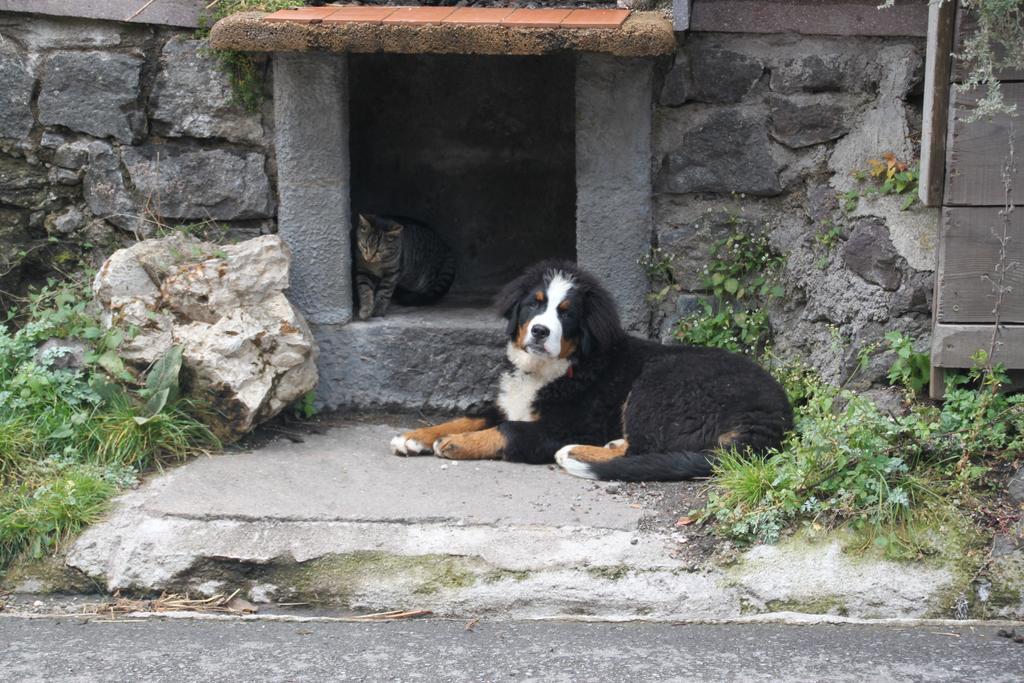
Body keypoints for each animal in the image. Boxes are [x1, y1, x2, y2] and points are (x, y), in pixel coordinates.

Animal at [389, 262, 790, 481]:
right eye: (534, 305)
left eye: (566, 313)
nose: (540, 331)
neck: (553, 369)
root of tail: (773, 417)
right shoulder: (508, 403)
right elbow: (469, 417)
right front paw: (415, 436)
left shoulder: (565, 425)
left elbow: (508, 430)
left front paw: (454, 444)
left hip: (660, 383)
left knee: (646, 449)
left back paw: (578, 454)